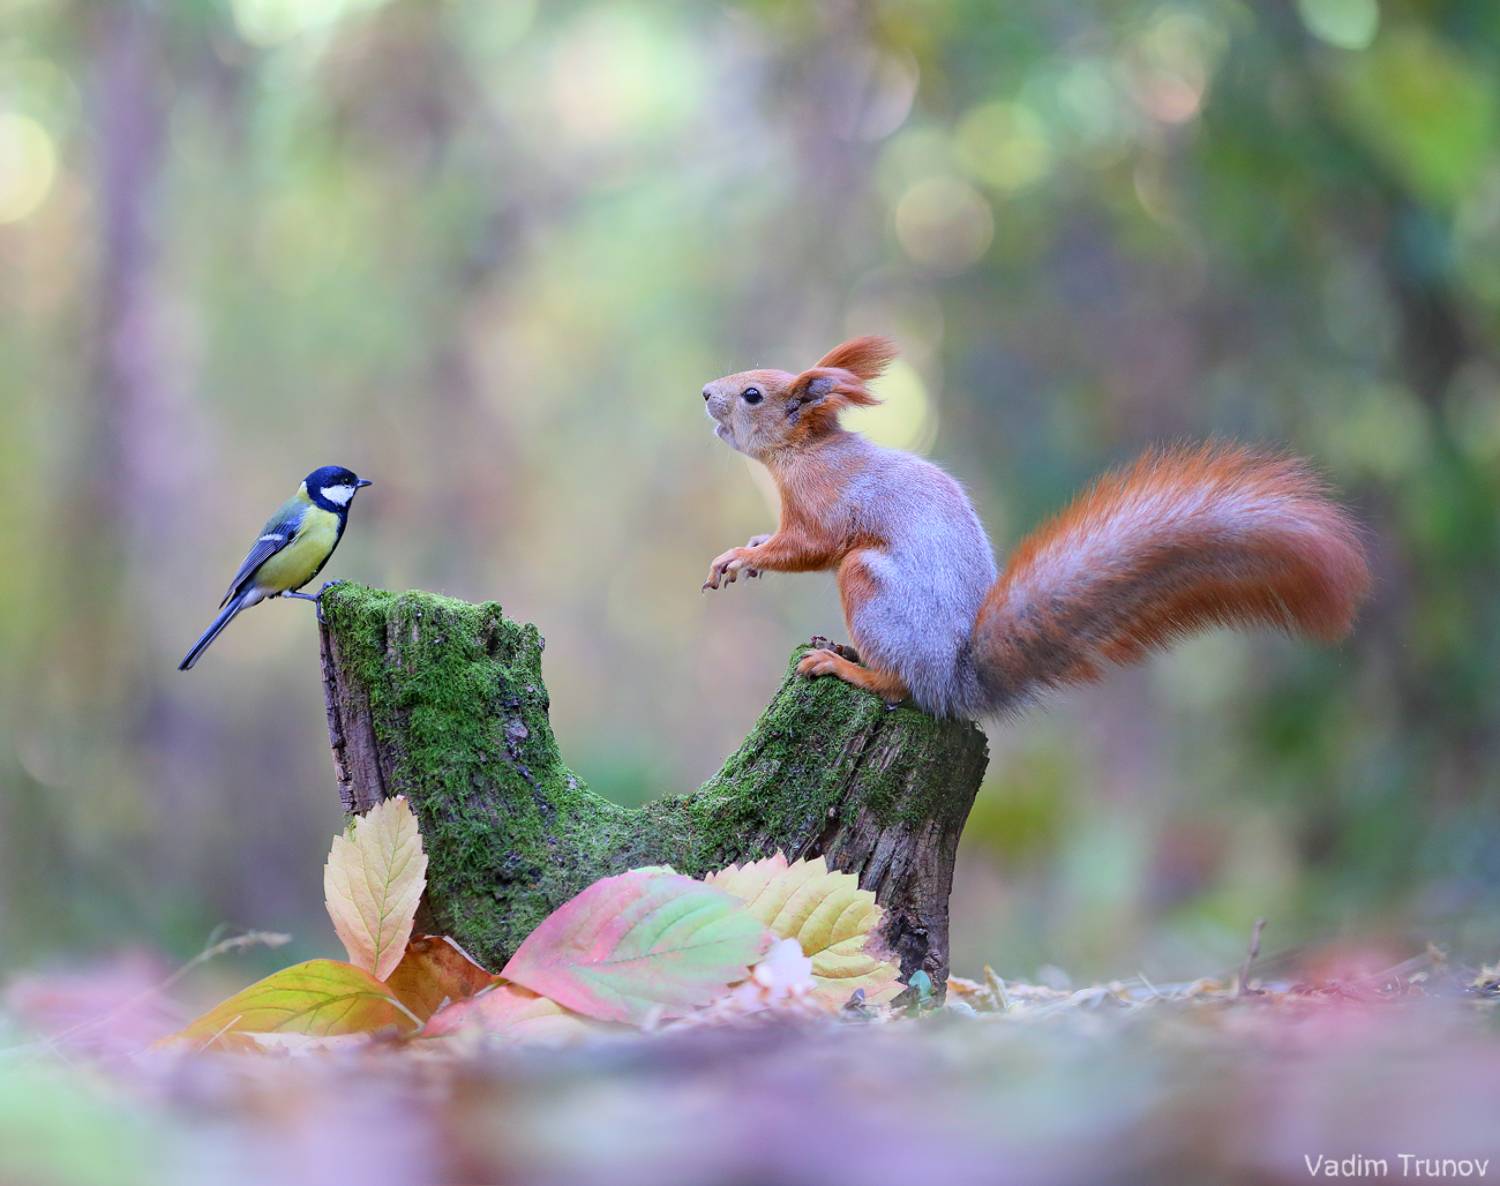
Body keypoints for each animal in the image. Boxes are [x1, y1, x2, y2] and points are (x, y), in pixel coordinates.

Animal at [700, 336, 1370, 719]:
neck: (806, 453)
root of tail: (955, 682)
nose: (707, 392)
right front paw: (753, 548)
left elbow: (809, 548)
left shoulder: (825, 506)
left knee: (900, 687)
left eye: (753, 394)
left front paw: (739, 556)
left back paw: (847, 667)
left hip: (870, 585)